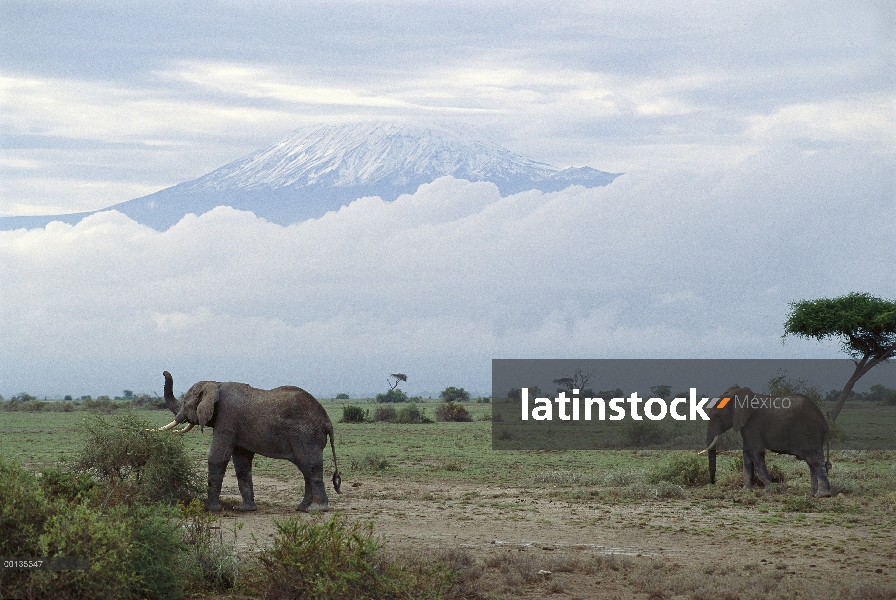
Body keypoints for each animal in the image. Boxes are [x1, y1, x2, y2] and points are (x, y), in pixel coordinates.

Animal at [158, 370, 340, 510]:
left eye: (186, 403)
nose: (164, 372)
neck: (216, 383)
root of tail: (327, 421)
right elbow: (242, 463)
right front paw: (245, 509)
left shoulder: (227, 418)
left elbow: (218, 457)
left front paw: (210, 509)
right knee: (306, 469)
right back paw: (302, 508)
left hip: (306, 436)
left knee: (311, 466)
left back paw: (317, 509)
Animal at [700, 386, 832, 500]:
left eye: (718, 416)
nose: (713, 482)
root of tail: (825, 423)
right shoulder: (746, 426)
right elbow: (747, 455)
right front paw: (746, 490)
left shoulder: (753, 423)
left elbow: (756, 452)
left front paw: (769, 489)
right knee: (811, 462)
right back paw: (812, 494)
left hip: (809, 432)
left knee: (814, 460)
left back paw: (822, 495)